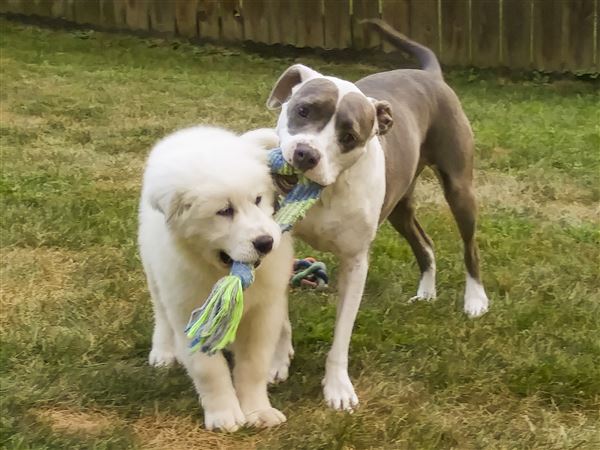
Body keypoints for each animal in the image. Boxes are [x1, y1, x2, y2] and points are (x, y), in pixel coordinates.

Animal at [138, 125, 292, 430]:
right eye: (224, 211)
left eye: (258, 200)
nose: (266, 242)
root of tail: (194, 130)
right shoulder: (189, 312)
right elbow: (208, 369)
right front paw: (224, 415)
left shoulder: (264, 311)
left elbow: (254, 364)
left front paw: (258, 411)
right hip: (153, 270)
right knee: (160, 313)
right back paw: (163, 351)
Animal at [262, 19, 488, 410]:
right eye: (303, 111)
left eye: (349, 136)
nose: (306, 154)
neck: (326, 191)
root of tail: (430, 75)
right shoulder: (280, 248)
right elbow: (280, 316)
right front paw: (278, 361)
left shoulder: (355, 263)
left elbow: (342, 335)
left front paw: (337, 388)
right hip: (399, 208)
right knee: (425, 243)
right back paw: (426, 292)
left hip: (459, 188)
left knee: (469, 246)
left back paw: (475, 300)